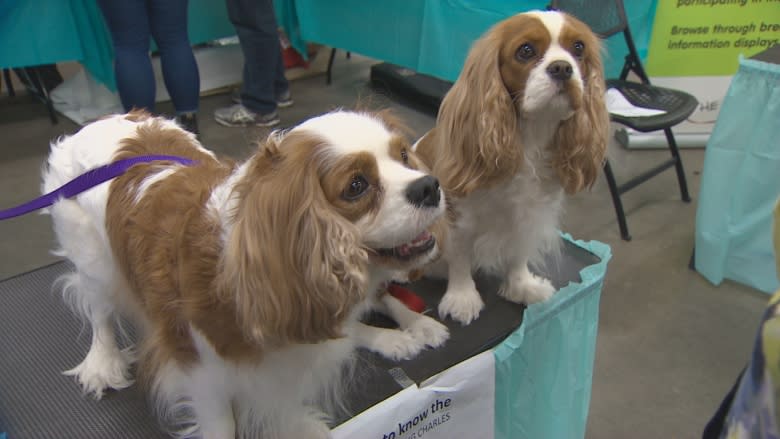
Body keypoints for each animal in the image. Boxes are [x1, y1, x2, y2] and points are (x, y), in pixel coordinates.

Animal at [42, 109, 444, 436]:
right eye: (356, 185)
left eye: (404, 156)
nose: (429, 185)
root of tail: (99, 122)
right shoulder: (202, 375)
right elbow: (224, 426)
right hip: (94, 261)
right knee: (100, 313)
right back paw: (102, 362)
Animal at [414, 9, 608, 326]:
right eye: (525, 51)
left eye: (578, 48)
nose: (562, 68)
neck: (531, 138)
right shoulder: (458, 217)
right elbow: (460, 257)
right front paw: (462, 297)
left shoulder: (530, 215)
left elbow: (519, 252)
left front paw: (521, 286)